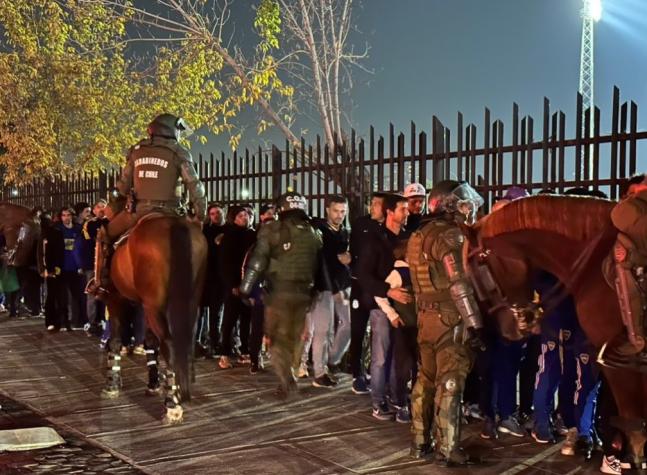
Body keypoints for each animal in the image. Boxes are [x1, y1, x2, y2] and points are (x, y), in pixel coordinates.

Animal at [103, 197, 208, 424]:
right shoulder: (147, 306)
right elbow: (150, 342)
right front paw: (153, 384)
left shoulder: (116, 298)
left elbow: (115, 340)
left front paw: (112, 384)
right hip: (188, 304)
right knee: (184, 341)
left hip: (153, 306)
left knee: (169, 343)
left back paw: (172, 406)